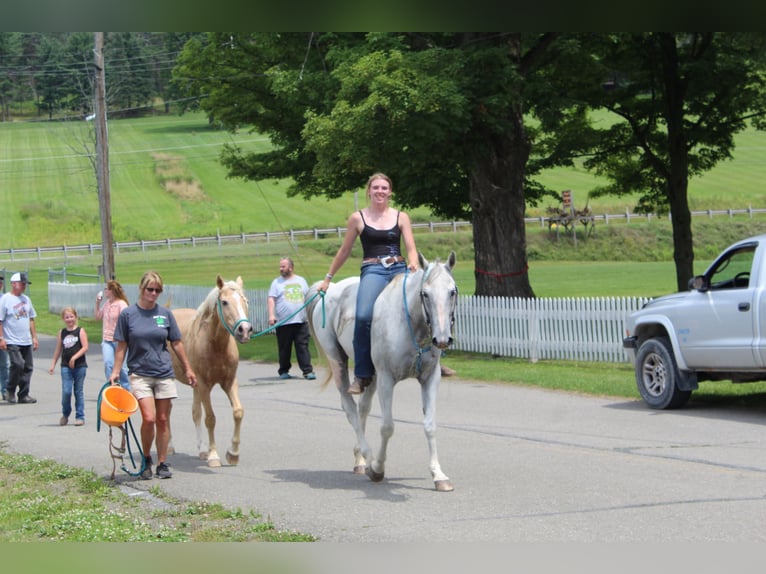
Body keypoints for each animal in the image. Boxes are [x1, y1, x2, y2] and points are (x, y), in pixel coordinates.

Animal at [171, 274, 255, 468]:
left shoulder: (229, 382)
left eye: (245, 301)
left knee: (195, 413)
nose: (245, 330)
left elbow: (238, 412)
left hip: (195, 386)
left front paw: (233, 454)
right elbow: (210, 419)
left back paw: (201, 450)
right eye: (224, 302)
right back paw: (170, 447)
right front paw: (214, 456)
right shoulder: (204, 385)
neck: (215, 345)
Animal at [308, 251, 460, 490]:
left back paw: (360, 460)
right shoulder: (387, 379)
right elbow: (387, 427)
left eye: (452, 291)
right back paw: (367, 455)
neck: (410, 324)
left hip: (371, 375)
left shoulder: (429, 379)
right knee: (350, 408)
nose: (442, 339)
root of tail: (330, 290)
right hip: (338, 361)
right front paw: (378, 468)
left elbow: (430, 425)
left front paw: (439, 475)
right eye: (425, 294)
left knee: (362, 408)